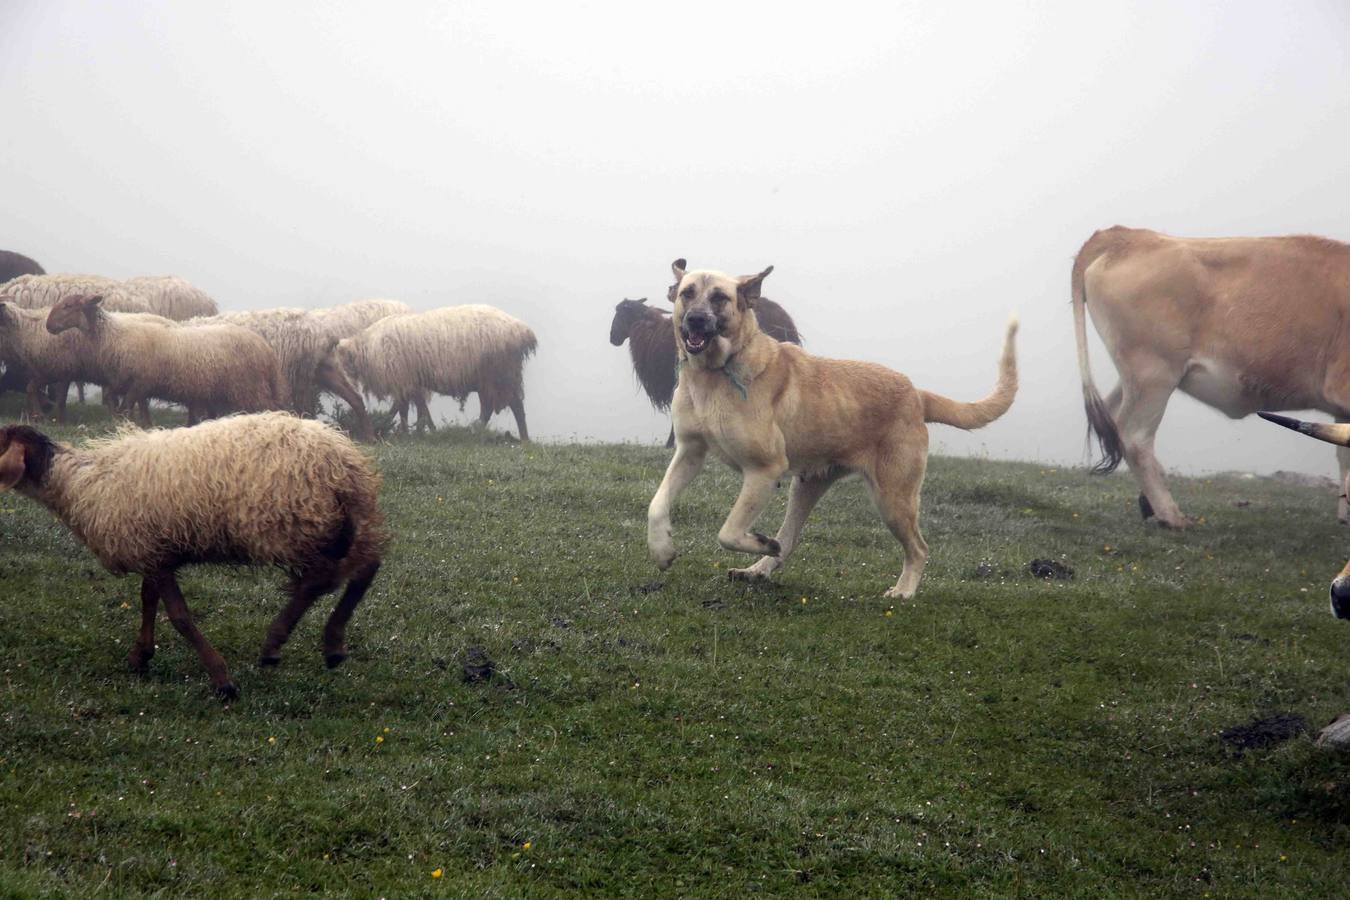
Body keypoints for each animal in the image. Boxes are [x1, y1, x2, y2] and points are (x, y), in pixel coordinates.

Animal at [1, 412, 391, 701]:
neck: (76, 483)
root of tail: (343, 464)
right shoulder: (154, 551)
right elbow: (148, 600)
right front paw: (141, 656)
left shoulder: (151, 553)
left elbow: (179, 616)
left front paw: (222, 680)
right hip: (341, 524)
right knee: (365, 568)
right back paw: (332, 642)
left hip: (293, 525)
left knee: (320, 581)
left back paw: (279, 643)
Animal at [46, 292, 284, 426]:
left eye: (68, 305)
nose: (48, 326)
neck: (115, 334)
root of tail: (267, 351)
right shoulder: (130, 385)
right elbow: (132, 408)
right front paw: (143, 426)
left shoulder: (138, 383)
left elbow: (124, 409)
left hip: (250, 389)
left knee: (269, 409)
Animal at [334, 304, 534, 442]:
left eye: (342, 363)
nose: (343, 385)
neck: (366, 347)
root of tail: (523, 330)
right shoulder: (411, 381)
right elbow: (418, 408)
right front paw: (424, 430)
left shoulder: (403, 379)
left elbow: (404, 408)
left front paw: (399, 430)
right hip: (491, 379)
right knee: (491, 408)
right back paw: (479, 432)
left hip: (500, 375)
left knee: (513, 406)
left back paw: (521, 438)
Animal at [648, 260, 1015, 599]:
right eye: (687, 293)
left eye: (720, 297)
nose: (695, 320)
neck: (715, 373)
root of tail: (916, 393)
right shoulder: (690, 452)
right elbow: (657, 504)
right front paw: (662, 550)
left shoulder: (764, 471)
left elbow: (728, 531)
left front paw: (757, 540)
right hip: (807, 485)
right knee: (789, 538)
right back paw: (758, 569)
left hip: (893, 497)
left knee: (919, 548)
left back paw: (904, 590)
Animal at [1080, 225, 1350, 531]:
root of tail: (1127, 235)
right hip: (1154, 374)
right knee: (1134, 436)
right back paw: (1171, 516)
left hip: (1134, 378)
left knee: (1111, 418)